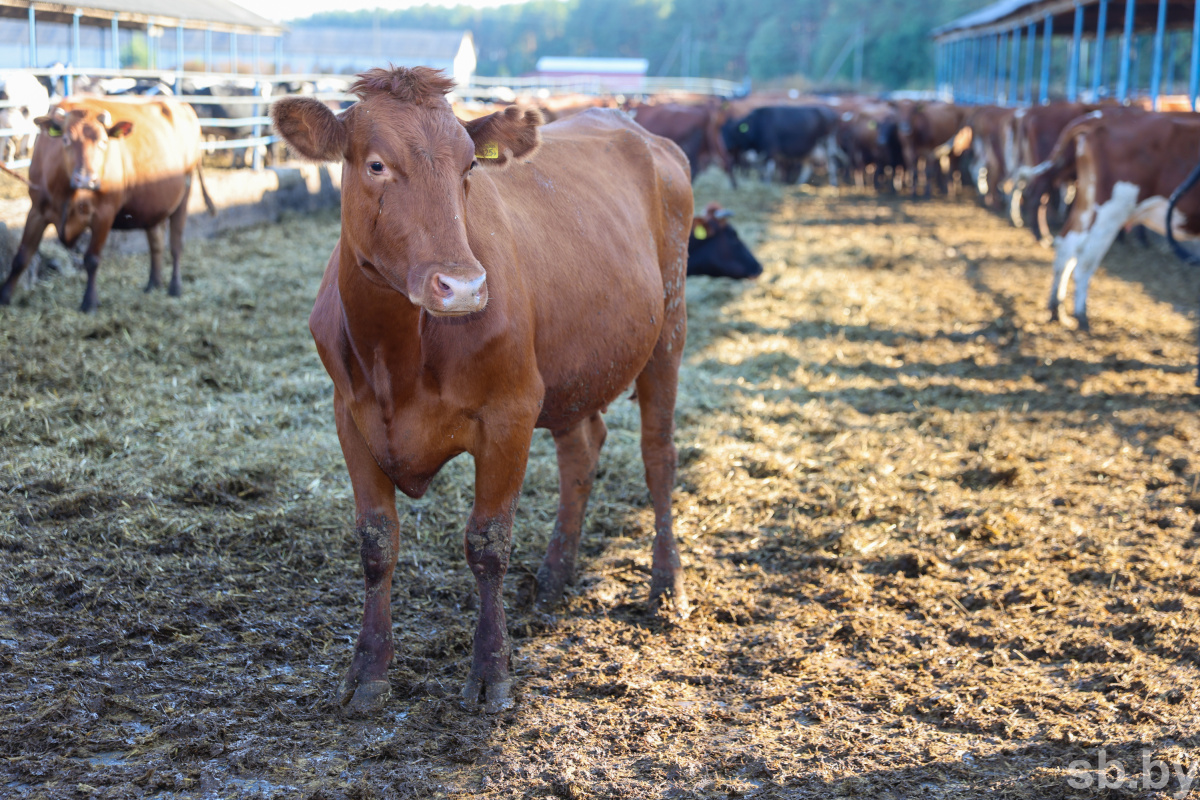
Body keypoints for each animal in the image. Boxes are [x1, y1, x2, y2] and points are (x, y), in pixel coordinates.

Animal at [267, 68, 691, 714]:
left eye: (469, 165)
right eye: (375, 164)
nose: (462, 286)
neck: (395, 355)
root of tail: (634, 126)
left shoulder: (510, 414)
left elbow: (488, 543)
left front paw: (491, 671)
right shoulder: (350, 416)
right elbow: (376, 542)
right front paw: (367, 671)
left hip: (668, 327)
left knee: (657, 456)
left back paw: (666, 587)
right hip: (573, 364)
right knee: (581, 449)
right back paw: (555, 575)